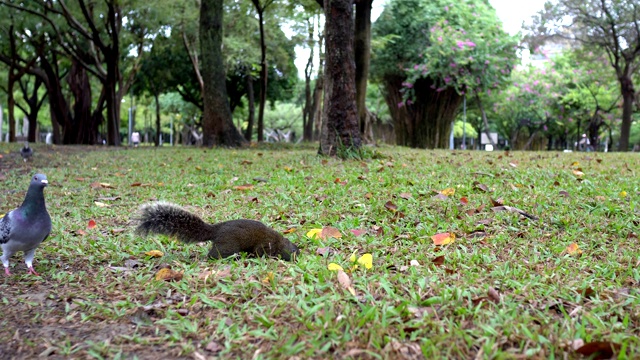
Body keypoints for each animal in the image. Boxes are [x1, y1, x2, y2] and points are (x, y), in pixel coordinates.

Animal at [135, 201, 300, 260]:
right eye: (293, 250)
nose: (297, 257)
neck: (278, 241)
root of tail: (216, 230)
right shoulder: (265, 244)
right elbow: (260, 252)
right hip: (228, 245)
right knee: (214, 254)